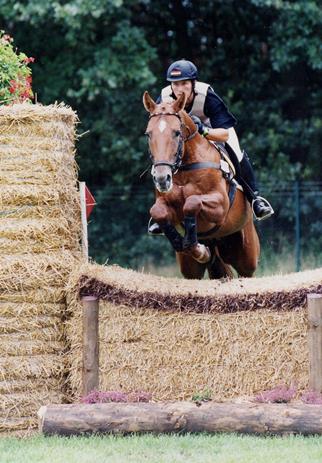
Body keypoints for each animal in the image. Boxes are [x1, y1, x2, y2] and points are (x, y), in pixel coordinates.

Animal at [143, 90, 260, 280]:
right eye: (148, 134)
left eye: (177, 133)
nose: (162, 178)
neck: (185, 166)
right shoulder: (164, 204)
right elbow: (158, 211)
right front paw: (184, 243)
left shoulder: (220, 205)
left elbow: (192, 202)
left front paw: (196, 246)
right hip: (191, 268)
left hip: (246, 254)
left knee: (246, 272)